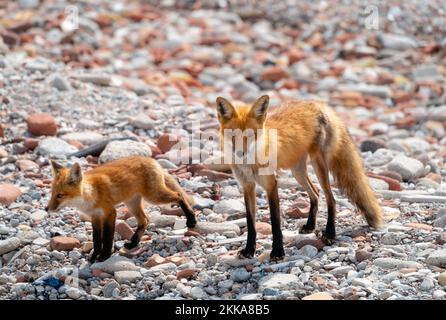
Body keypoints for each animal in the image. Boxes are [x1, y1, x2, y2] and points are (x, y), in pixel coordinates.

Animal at [45, 156, 197, 262]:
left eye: (60, 195)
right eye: (52, 194)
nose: (46, 209)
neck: (91, 194)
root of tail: (150, 159)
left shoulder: (110, 213)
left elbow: (107, 238)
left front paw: (105, 256)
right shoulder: (95, 217)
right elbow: (96, 240)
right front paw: (94, 256)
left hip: (154, 197)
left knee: (178, 196)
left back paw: (191, 220)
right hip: (132, 203)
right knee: (145, 220)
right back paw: (133, 243)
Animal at [216, 94, 384, 260]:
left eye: (251, 135)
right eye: (232, 135)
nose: (240, 153)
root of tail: (318, 104)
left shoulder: (271, 184)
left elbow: (275, 221)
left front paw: (278, 251)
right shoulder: (247, 186)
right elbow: (250, 223)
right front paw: (249, 250)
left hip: (318, 165)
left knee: (331, 198)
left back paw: (330, 233)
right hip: (297, 172)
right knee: (315, 193)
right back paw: (310, 225)